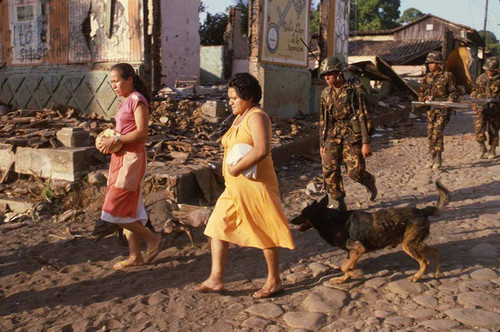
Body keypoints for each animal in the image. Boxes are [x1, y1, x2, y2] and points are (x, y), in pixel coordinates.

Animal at [290, 180, 450, 284]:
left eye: (302, 214)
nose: (291, 220)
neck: (329, 219)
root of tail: (422, 211)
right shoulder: (352, 252)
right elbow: (347, 266)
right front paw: (344, 279)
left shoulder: (358, 248)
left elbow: (344, 266)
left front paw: (355, 274)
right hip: (414, 243)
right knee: (435, 251)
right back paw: (437, 273)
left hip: (409, 245)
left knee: (425, 261)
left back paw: (417, 277)